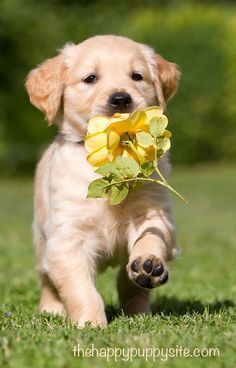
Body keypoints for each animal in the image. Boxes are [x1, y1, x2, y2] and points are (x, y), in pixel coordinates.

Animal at [25, 35, 180, 328]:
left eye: (137, 76)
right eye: (90, 78)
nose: (120, 99)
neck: (113, 158)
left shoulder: (153, 211)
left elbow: (151, 235)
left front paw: (149, 262)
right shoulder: (66, 240)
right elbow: (81, 289)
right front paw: (91, 324)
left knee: (129, 284)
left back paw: (140, 304)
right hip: (41, 241)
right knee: (46, 280)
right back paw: (51, 310)